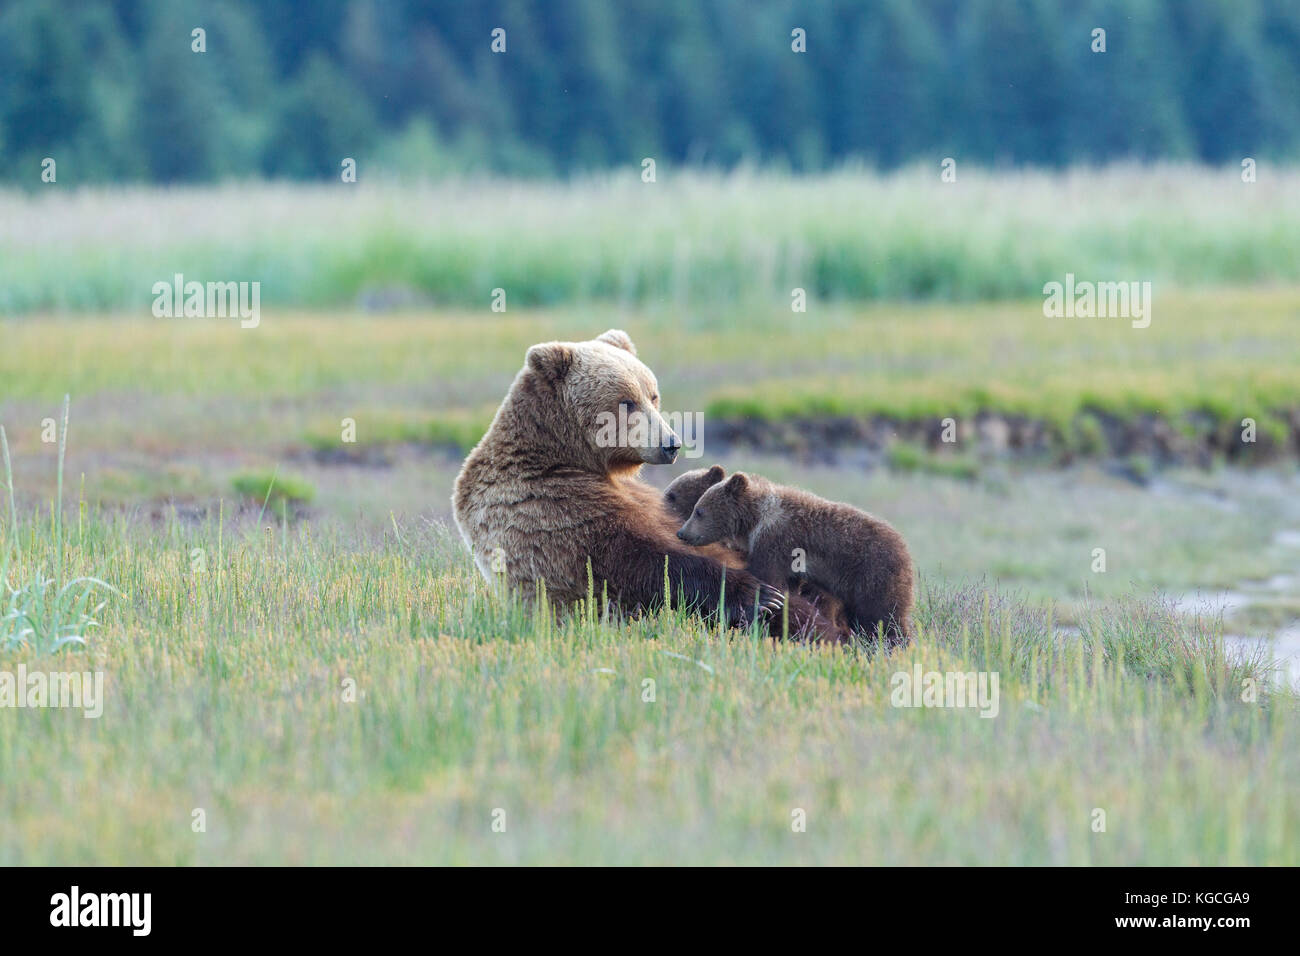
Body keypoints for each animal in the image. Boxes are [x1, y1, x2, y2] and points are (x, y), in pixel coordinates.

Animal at [676, 471, 914, 646]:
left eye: (699, 511)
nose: (682, 532)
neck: (754, 520)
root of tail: (905, 550)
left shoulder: (775, 543)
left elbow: (768, 576)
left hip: (872, 574)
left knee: (883, 616)